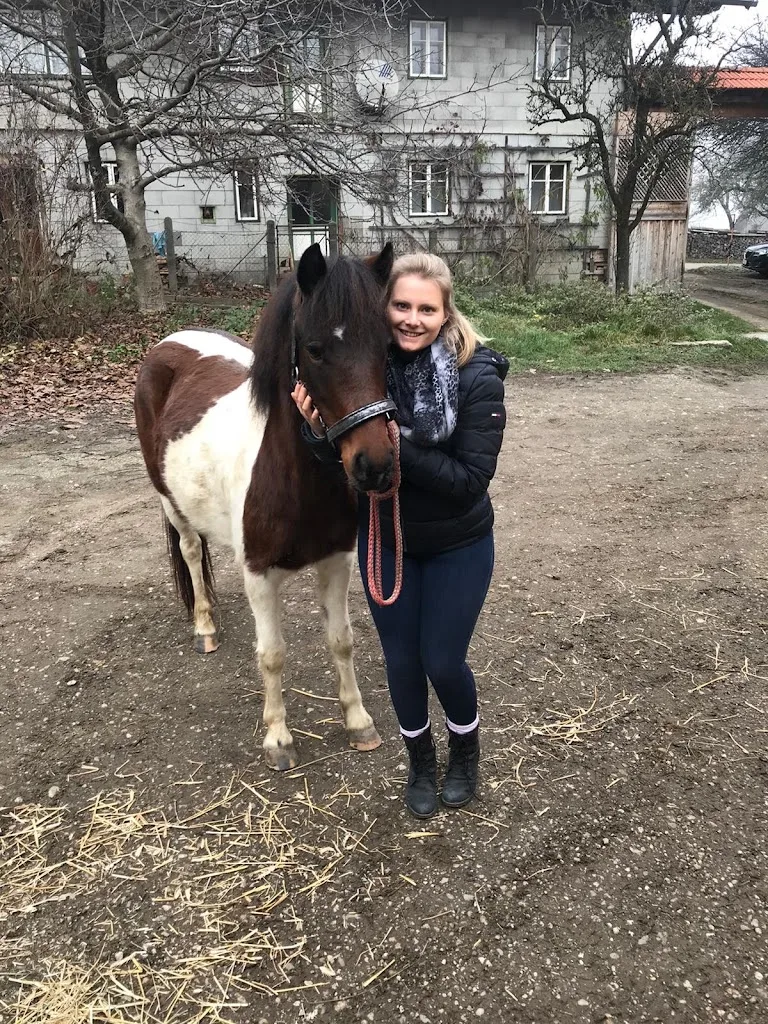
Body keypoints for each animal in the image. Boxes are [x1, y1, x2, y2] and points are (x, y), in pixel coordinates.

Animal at [134, 242, 396, 770]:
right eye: (314, 349)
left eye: (387, 347)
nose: (375, 466)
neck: (297, 477)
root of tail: (168, 343)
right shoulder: (258, 573)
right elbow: (272, 654)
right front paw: (278, 737)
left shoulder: (337, 561)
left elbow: (342, 641)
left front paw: (358, 721)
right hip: (169, 501)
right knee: (190, 551)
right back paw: (204, 625)